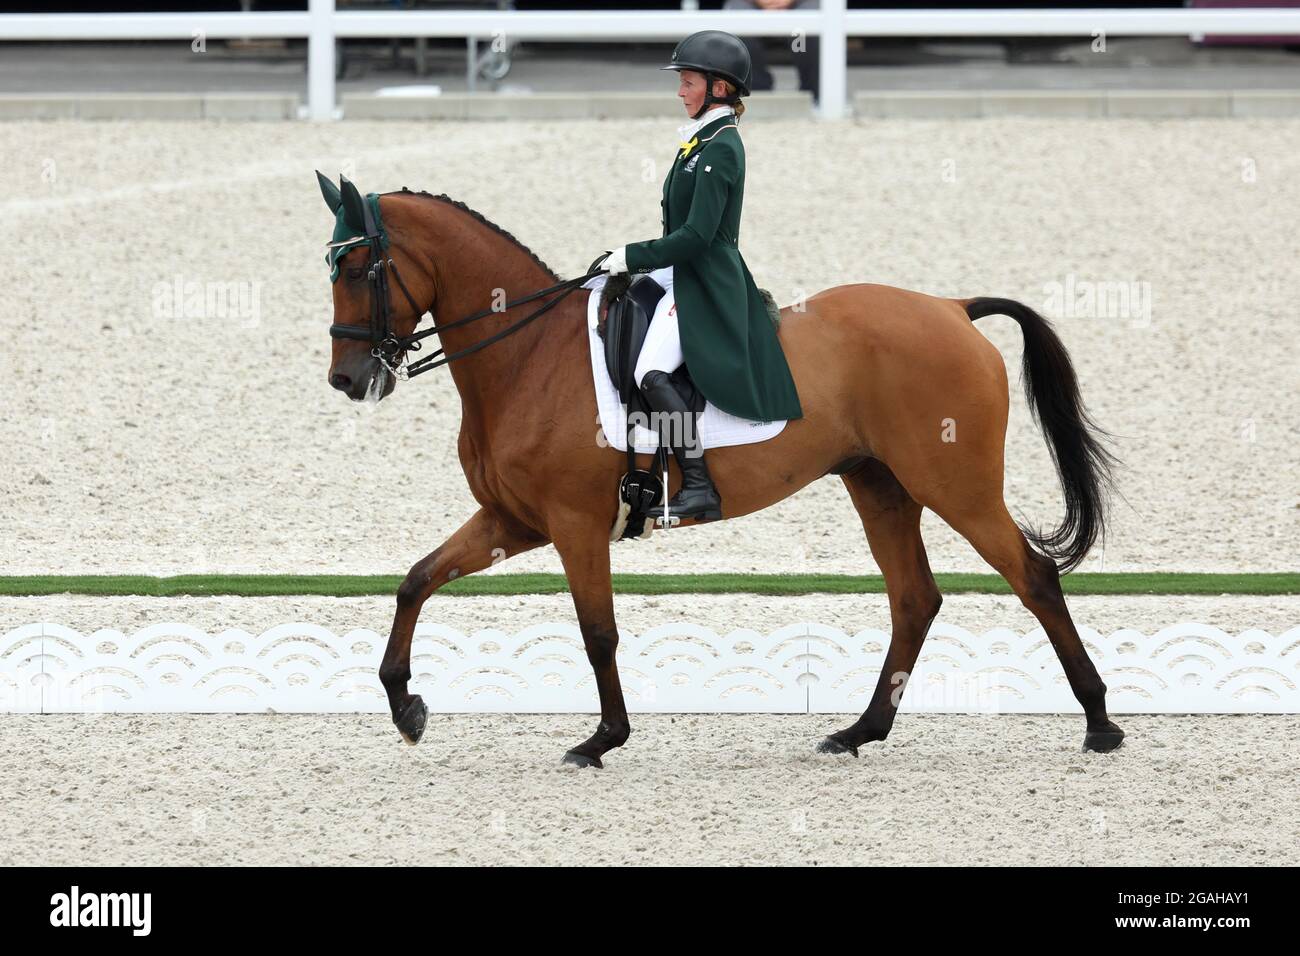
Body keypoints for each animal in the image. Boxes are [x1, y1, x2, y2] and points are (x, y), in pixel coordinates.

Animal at [319, 175, 1123, 764]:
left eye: (360, 268)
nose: (349, 380)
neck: (527, 354)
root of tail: (953, 310)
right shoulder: (513, 521)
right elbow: (417, 579)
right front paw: (406, 707)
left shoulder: (574, 523)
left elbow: (597, 630)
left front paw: (601, 740)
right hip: (880, 486)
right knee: (914, 600)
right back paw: (859, 732)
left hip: (955, 486)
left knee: (1031, 578)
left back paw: (1099, 723)